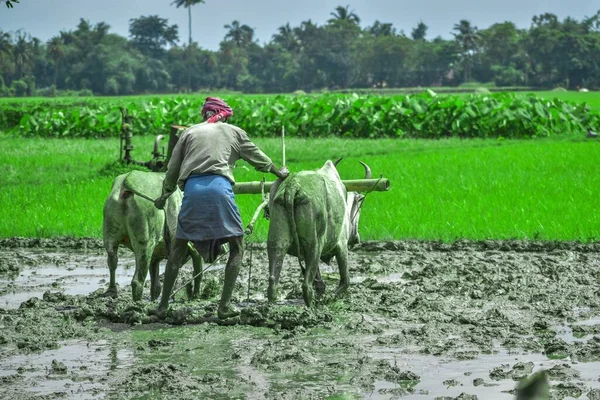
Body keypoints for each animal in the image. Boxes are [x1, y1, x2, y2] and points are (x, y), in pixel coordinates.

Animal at [102, 170, 203, 302]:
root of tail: (126, 183)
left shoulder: (155, 257)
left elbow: (156, 283)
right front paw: (195, 295)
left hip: (110, 237)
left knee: (112, 262)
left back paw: (111, 292)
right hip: (145, 243)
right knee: (137, 281)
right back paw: (138, 302)